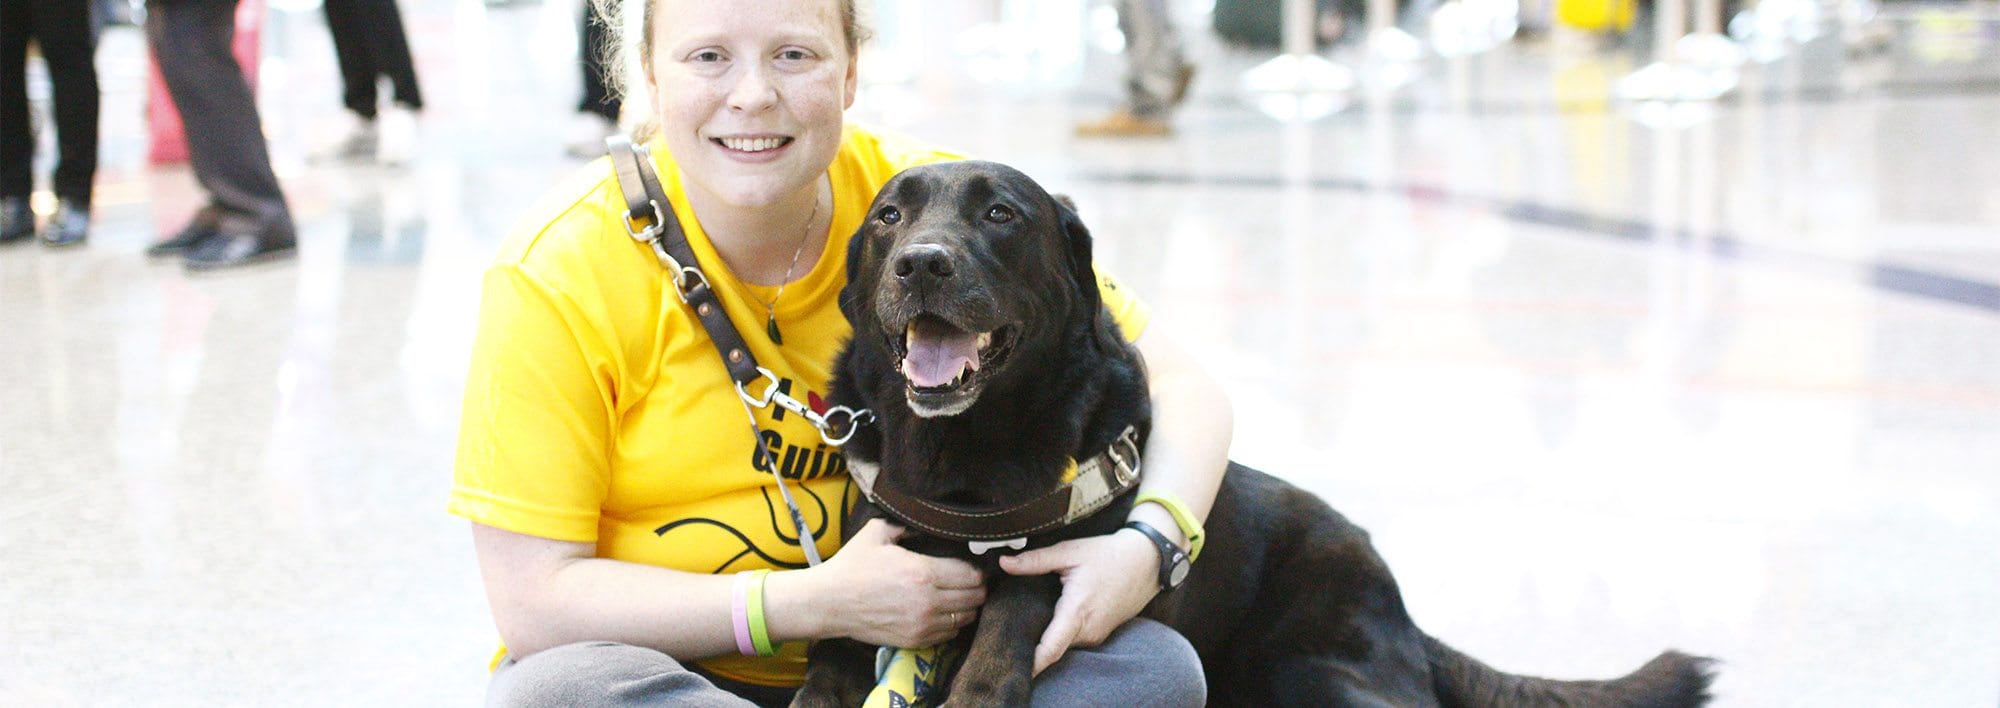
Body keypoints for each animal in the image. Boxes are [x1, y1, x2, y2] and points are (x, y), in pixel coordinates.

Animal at [788, 162, 1712, 708]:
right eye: (890, 217)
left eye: (1002, 213)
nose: (922, 262)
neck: (961, 468)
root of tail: (1399, 604)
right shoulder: (874, 560)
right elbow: (831, 649)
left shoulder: (1056, 562)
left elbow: (1006, 631)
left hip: (1312, 673)